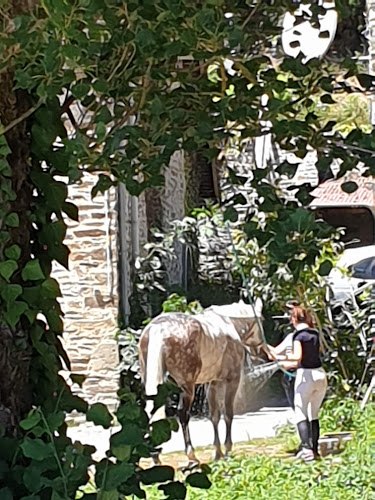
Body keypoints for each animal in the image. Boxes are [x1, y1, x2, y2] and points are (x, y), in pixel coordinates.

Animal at [140, 298, 266, 462]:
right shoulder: (232, 380)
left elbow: (214, 415)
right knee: (183, 414)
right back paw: (191, 456)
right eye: (262, 320)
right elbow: (228, 413)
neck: (228, 323)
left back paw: (156, 457)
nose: (260, 352)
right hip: (187, 387)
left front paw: (218, 453)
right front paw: (227, 450)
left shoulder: (213, 383)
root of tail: (158, 328)